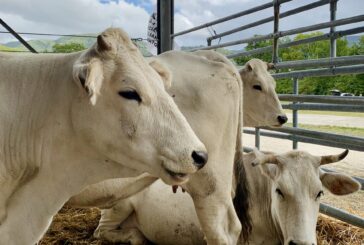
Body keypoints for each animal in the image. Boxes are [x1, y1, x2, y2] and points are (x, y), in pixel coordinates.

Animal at [84, 149, 358, 245]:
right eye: (279, 190)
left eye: (319, 192)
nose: (301, 244)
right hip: (119, 205)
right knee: (102, 232)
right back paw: (136, 237)